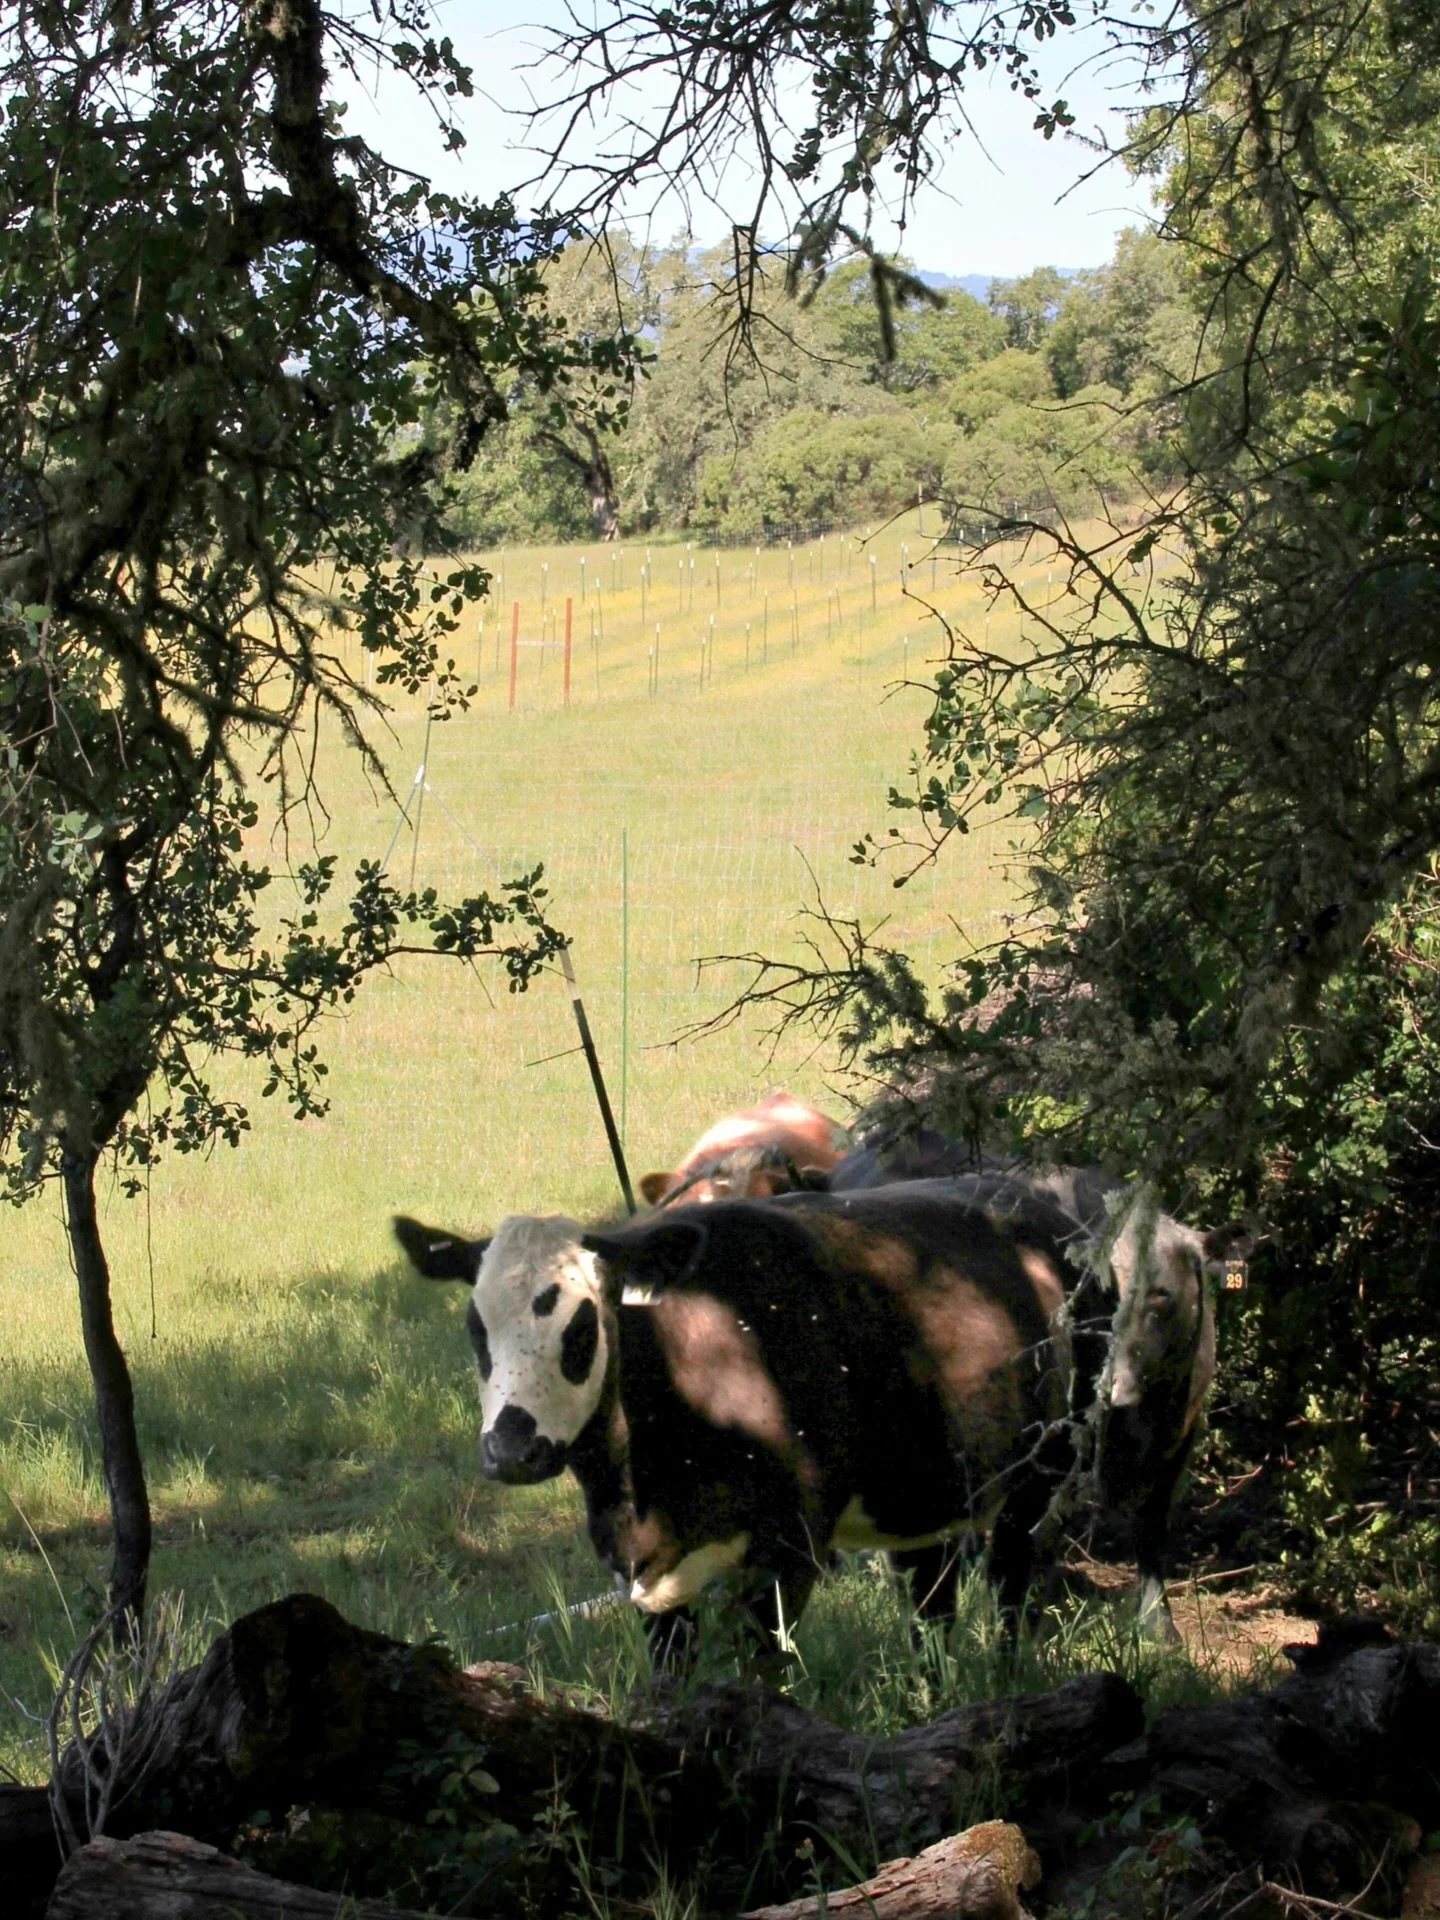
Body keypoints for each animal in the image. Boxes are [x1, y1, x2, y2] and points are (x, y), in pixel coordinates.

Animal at [393, 1188, 1069, 1665]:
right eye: (475, 1327)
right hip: (921, 1495)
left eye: (582, 1324)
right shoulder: (644, 1576)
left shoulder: (789, 1550)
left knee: (1012, 1597)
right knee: (932, 1607)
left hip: (1039, 1476)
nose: (511, 1451)